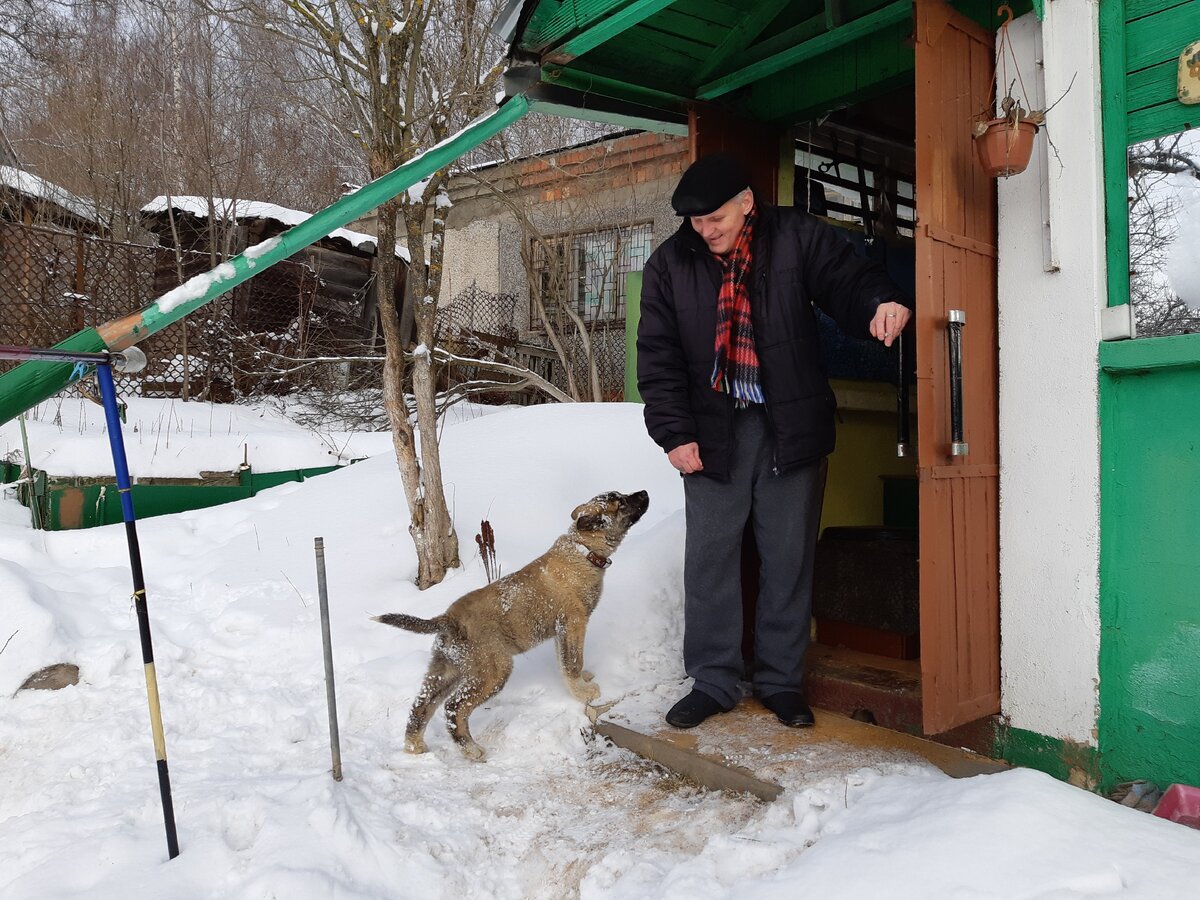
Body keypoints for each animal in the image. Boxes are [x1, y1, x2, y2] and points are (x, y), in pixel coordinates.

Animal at [379, 494, 652, 763]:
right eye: (620, 503)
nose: (645, 493)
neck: (582, 550)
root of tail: (448, 618)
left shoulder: (561, 632)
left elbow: (565, 662)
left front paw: (582, 683)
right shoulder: (573, 623)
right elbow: (573, 662)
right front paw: (585, 694)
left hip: (445, 669)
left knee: (421, 705)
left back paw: (414, 747)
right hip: (492, 671)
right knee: (454, 708)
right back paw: (471, 750)